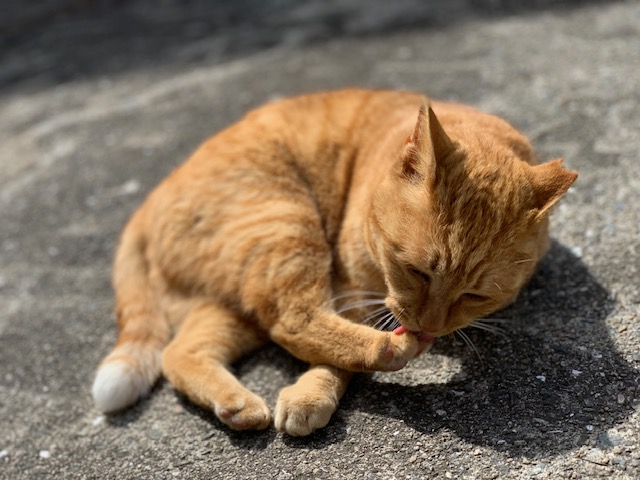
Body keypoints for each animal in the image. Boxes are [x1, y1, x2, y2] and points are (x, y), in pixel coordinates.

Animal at [92, 89, 576, 436]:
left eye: (475, 295)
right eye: (417, 271)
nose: (429, 328)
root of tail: (152, 196)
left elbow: (331, 362)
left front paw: (309, 396)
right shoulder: (350, 288)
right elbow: (335, 348)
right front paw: (316, 394)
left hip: (238, 295)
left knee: (182, 351)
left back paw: (235, 405)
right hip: (282, 224)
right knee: (294, 319)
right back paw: (392, 348)